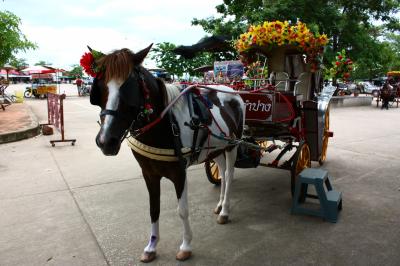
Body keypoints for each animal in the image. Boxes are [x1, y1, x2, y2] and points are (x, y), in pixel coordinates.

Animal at [87, 44, 244, 262]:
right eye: (100, 87)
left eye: (129, 88)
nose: (105, 141)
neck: (167, 125)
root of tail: (233, 91)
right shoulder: (149, 174)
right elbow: (154, 209)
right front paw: (151, 247)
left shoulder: (180, 173)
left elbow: (182, 210)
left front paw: (186, 245)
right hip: (216, 149)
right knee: (221, 170)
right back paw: (220, 205)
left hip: (232, 146)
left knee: (229, 176)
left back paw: (225, 211)